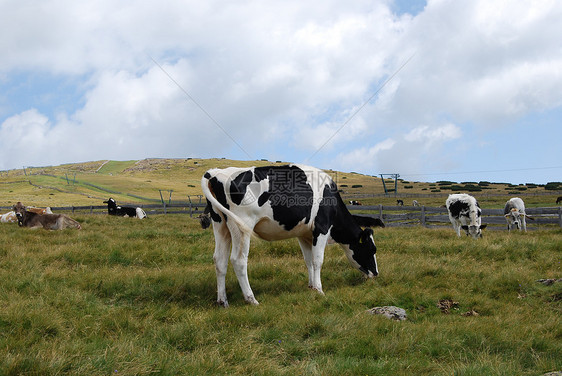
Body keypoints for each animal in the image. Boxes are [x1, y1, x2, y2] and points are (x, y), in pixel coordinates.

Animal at [199, 164, 382, 306]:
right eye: (371, 249)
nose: (376, 274)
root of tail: (216, 173)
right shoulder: (321, 228)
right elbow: (317, 261)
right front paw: (320, 290)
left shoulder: (304, 234)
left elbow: (308, 260)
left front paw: (311, 287)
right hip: (241, 225)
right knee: (238, 260)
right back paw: (251, 299)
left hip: (220, 225)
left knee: (219, 260)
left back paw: (222, 301)